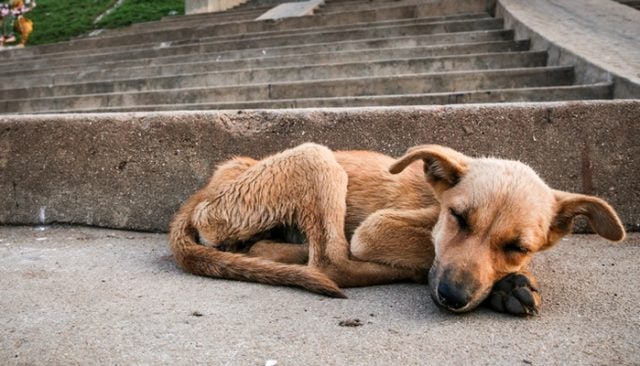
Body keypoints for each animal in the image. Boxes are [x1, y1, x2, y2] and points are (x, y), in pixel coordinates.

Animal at [170, 143, 624, 314]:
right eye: (458, 218)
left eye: (517, 246)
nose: (452, 297)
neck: (435, 201)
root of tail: (206, 190)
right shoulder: (376, 228)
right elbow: (426, 251)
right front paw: (506, 285)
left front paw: (509, 281)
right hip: (316, 156)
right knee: (332, 262)